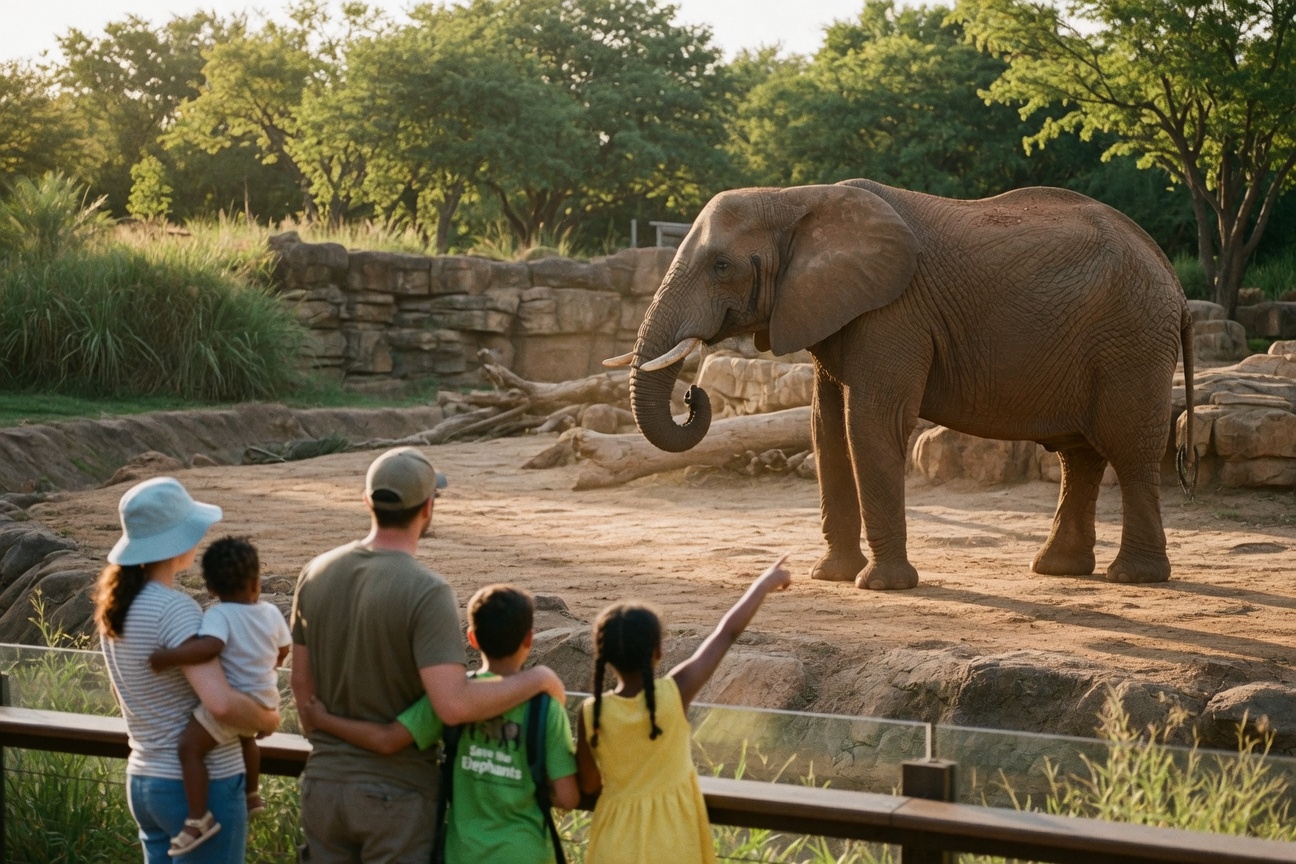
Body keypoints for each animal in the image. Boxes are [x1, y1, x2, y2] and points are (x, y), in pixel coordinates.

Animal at [605, 180, 1196, 590]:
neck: (795, 199)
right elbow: (827, 428)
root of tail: (1172, 275)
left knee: (1129, 449)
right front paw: (831, 577)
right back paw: (1057, 569)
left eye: (722, 266)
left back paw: (1133, 576)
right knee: (1080, 455)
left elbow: (870, 423)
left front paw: (881, 586)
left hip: (1133, 341)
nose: (692, 393)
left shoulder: (893, 312)